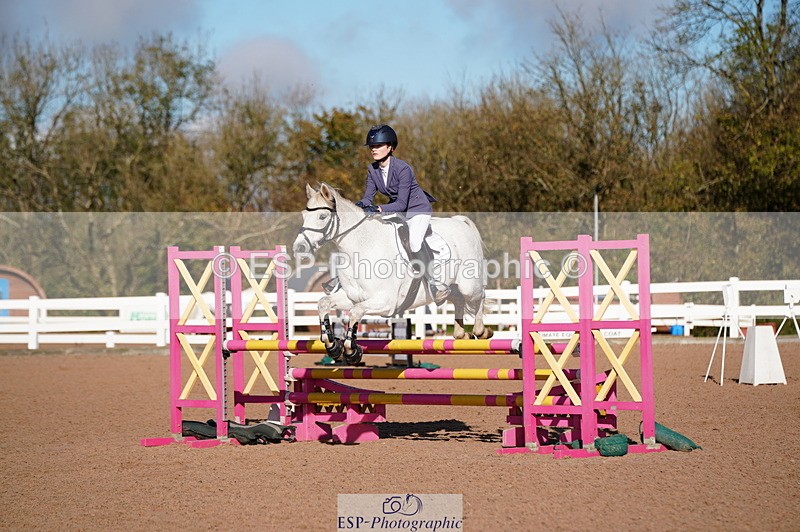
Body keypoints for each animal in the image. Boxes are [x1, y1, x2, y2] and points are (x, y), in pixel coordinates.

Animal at [292, 183, 492, 364]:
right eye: (304, 215)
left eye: (322, 216)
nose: (298, 247)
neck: (363, 247)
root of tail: (460, 222)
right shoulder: (352, 297)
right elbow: (323, 304)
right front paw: (332, 346)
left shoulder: (385, 302)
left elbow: (355, 313)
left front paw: (351, 351)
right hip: (452, 288)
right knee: (458, 300)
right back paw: (461, 334)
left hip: (469, 286)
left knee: (479, 296)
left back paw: (481, 331)